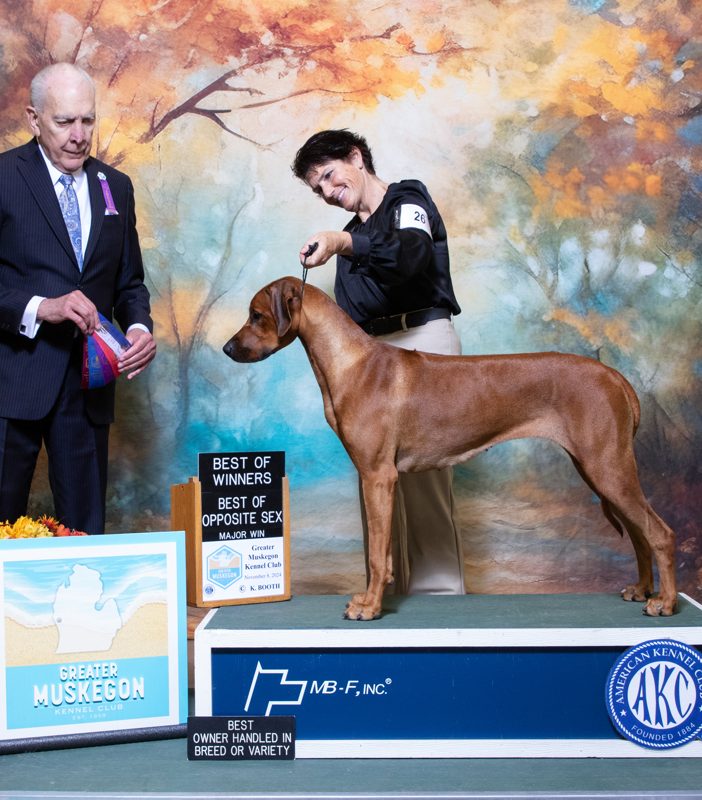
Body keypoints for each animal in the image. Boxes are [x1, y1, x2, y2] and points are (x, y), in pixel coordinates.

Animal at [224, 278, 676, 620]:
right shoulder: (378, 480)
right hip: (599, 470)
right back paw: (641, 589)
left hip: (607, 467)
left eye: (256, 315)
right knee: (640, 534)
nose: (227, 349)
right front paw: (371, 598)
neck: (350, 361)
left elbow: (375, 556)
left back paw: (665, 602)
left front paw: (369, 608)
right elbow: (383, 556)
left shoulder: (377, 477)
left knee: (660, 533)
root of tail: (614, 375)